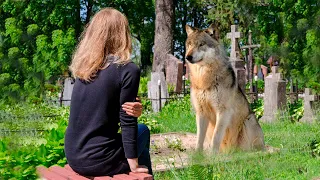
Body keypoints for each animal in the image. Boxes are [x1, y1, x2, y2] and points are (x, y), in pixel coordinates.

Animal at [185, 24, 264, 153]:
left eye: (201, 44)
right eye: (189, 44)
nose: (188, 57)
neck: (204, 80)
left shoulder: (223, 112)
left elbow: (216, 137)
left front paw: (213, 154)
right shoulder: (201, 112)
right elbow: (199, 138)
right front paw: (198, 154)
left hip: (249, 120)